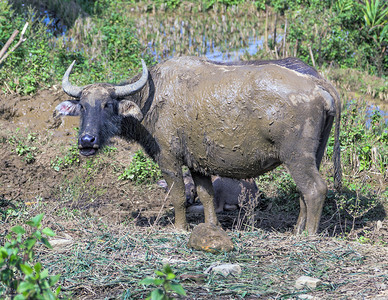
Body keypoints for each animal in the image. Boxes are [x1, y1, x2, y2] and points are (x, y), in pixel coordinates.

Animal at [56, 55, 342, 234]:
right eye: (83, 106)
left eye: (107, 104)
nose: (87, 141)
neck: (152, 98)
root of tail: (318, 85)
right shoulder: (198, 164)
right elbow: (206, 195)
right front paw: (212, 226)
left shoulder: (169, 160)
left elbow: (177, 196)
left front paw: (180, 228)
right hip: (315, 154)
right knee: (304, 192)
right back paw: (297, 229)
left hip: (296, 156)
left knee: (315, 189)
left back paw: (308, 234)